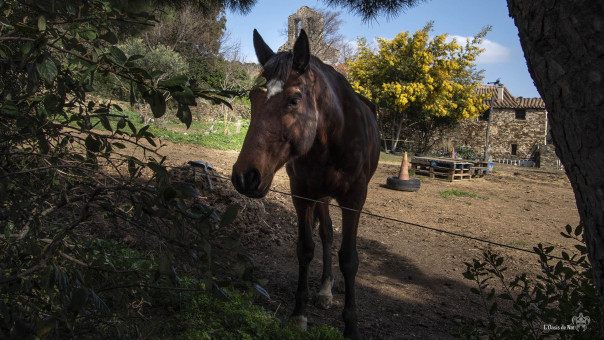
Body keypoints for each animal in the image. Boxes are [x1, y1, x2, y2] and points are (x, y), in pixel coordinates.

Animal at [231, 29, 378, 340]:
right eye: (252, 96)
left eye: (294, 100)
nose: (245, 176)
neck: (332, 137)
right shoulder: (302, 195)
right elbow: (306, 248)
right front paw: (299, 313)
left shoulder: (354, 200)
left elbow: (349, 259)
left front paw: (351, 326)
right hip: (320, 196)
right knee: (327, 233)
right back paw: (324, 289)